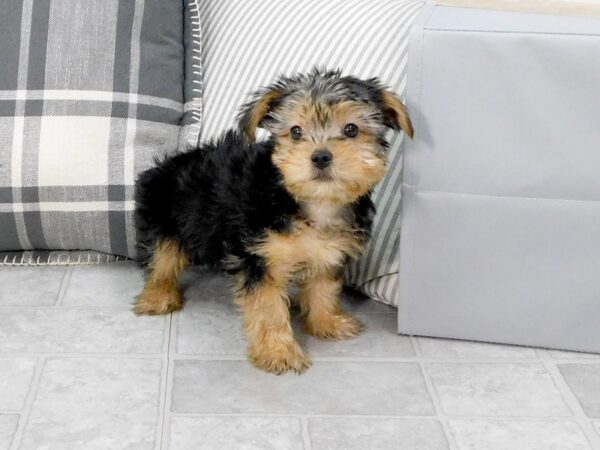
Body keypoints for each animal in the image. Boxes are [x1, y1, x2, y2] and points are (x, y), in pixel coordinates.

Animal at [135, 67, 412, 372]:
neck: (311, 202)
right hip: (164, 214)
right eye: (296, 132)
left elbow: (324, 287)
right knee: (162, 257)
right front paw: (279, 351)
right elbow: (268, 307)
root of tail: (167, 164)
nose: (321, 156)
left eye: (351, 129)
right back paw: (158, 296)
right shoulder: (259, 255)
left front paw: (327, 322)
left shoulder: (331, 250)